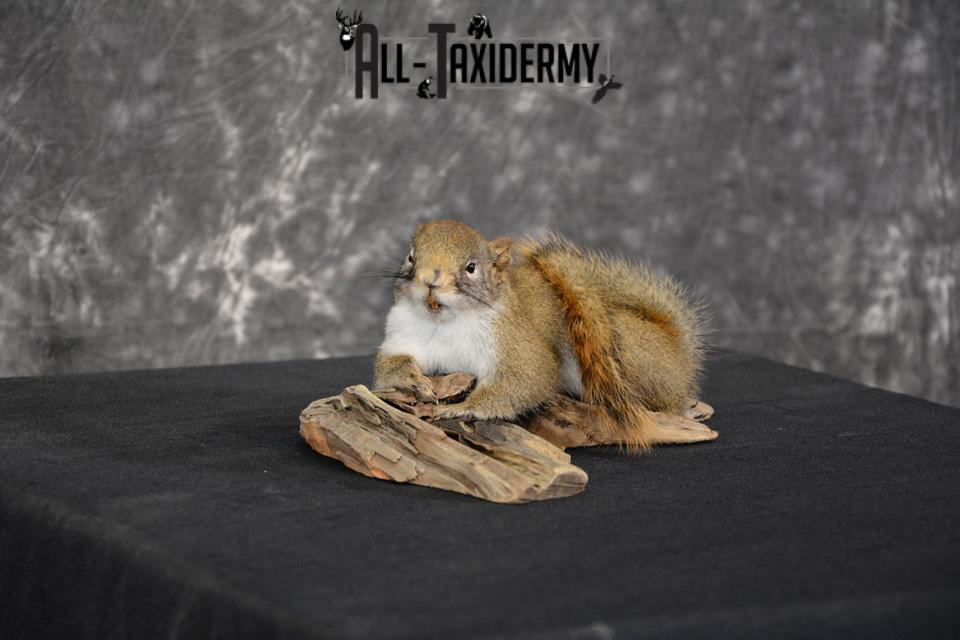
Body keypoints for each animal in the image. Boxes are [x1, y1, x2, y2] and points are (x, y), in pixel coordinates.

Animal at [373, 220, 706, 452]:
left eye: (471, 267)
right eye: (411, 256)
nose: (431, 280)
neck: (444, 321)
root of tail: (680, 357)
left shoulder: (515, 343)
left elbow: (526, 379)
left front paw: (460, 408)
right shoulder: (401, 337)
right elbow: (390, 368)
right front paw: (415, 382)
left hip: (624, 356)